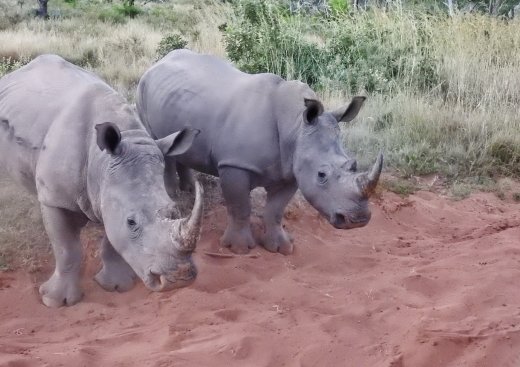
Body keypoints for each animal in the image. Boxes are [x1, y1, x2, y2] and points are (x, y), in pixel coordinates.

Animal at [0, 54, 203, 308]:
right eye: (131, 222)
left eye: (175, 210)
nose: (178, 279)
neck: (102, 163)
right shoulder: (55, 199)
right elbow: (67, 249)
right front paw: (55, 301)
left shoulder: (111, 193)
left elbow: (111, 241)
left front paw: (116, 286)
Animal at [137, 49, 382, 256]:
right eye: (321, 175)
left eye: (352, 164)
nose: (358, 219)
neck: (296, 126)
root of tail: (160, 61)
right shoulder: (234, 164)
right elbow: (240, 207)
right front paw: (238, 249)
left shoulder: (291, 170)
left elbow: (275, 210)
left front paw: (281, 248)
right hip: (142, 88)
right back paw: (173, 196)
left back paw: (187, 190)